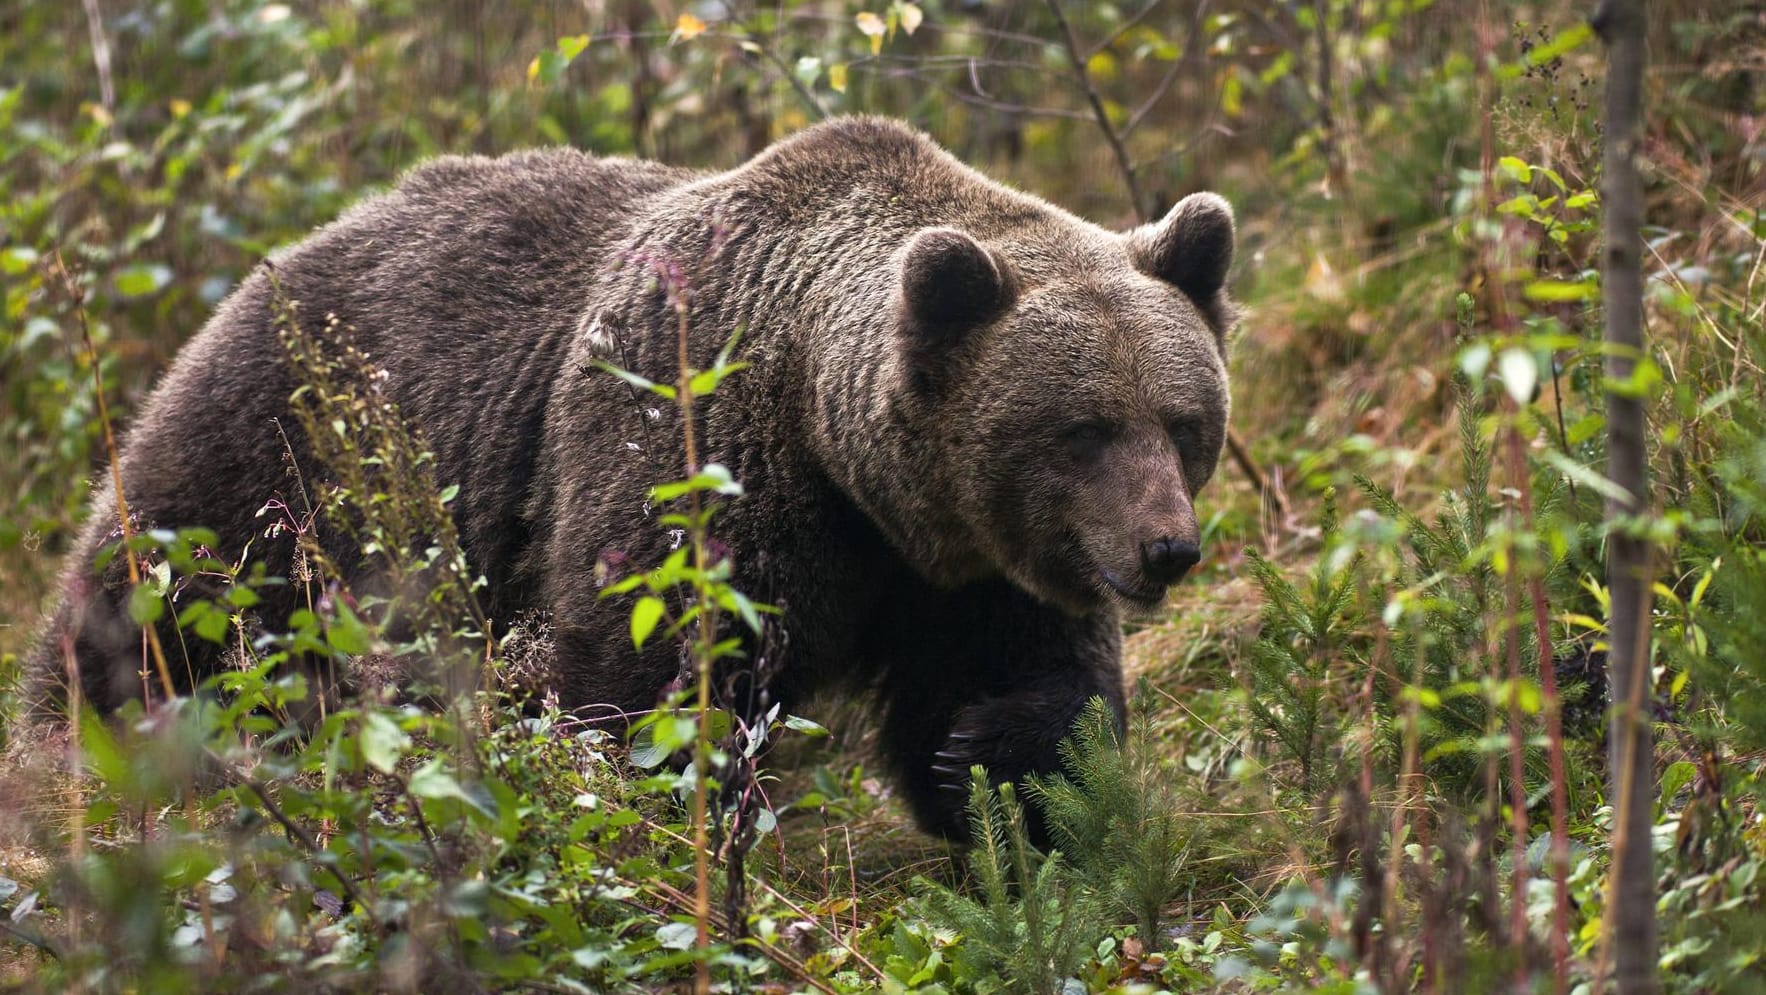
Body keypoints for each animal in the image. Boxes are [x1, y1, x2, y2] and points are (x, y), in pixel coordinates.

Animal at [31, 118, 1243, 841]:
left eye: (1183, 422)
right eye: (1082, 429)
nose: (1165, 549)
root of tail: (272, 262)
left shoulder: (963, 563)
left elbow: (1036, 690)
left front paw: (990, 765)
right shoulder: (692, 448)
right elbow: (646, 683)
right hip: (283, 465)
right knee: (146, 621)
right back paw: (71, 773)